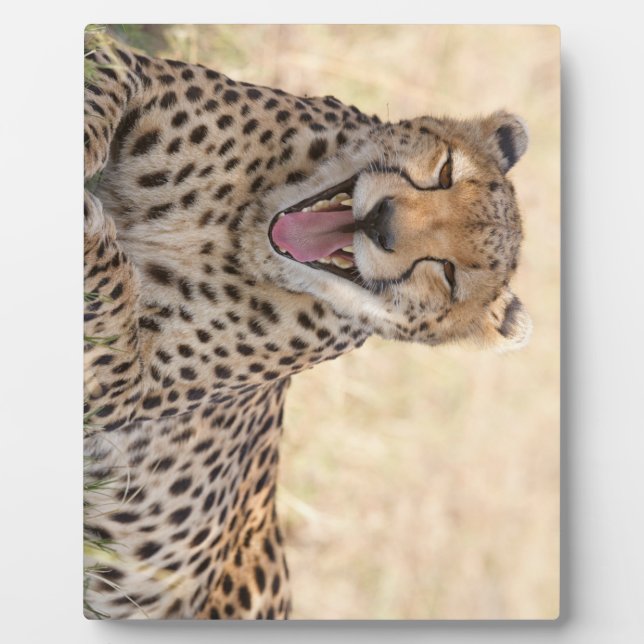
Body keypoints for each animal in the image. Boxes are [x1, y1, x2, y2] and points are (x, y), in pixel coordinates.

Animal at [83, 34, 532, 620]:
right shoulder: (140, 72)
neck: (238, 230)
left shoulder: (122, 389)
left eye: (450, 275)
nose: (382, 222)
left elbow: (109, 295)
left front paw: (92, 221)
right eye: (446, 172)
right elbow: (100, 84)